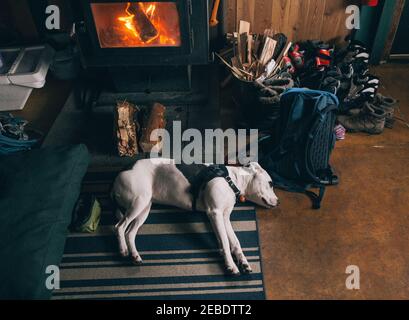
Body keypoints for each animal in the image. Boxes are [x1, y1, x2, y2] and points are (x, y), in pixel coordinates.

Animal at [111, 159, 278, 276]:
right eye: (270, 183)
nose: (278, 201)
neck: (231, 180)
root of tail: (120, 172)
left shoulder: (223, 217)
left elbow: (234, 241)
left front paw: (244, 262)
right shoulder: (215, 213)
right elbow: (225, 241)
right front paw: (231, 265)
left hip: (144, 207)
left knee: (130, 233)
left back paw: (135, 255)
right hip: (139, 202)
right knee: (119, 227)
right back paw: (123, 250)